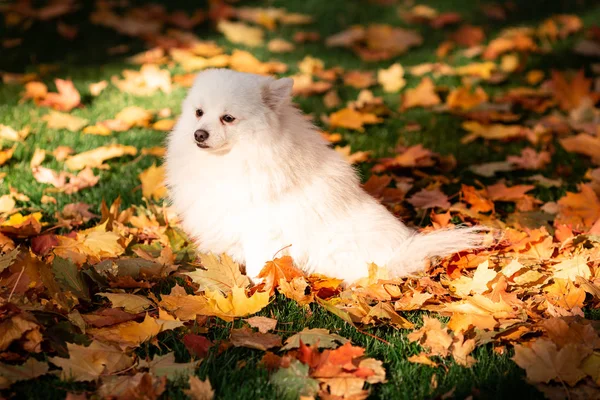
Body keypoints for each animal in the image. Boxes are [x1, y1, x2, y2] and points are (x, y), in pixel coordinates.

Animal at [166, 69, 486, 282]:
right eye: (198, 112)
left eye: (228, 118)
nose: (199, 134)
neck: (232, 159)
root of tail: (397, 256)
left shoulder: (262, 228)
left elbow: (259, 263)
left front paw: (257, 289)